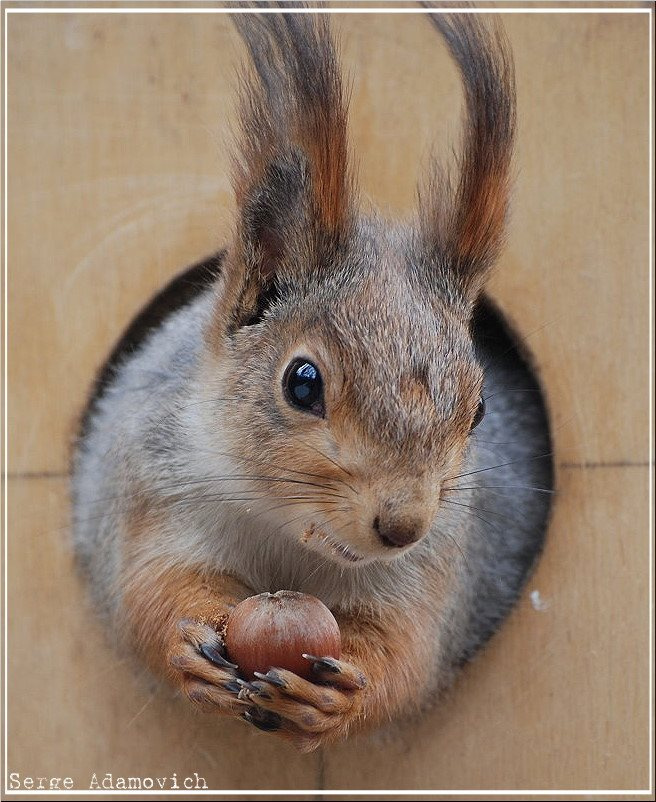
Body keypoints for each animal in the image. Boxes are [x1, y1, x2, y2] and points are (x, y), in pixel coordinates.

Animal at [71, 7, 553, 752]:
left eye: (478, 410)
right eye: (302, 383)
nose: (403, 525)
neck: (287, 534)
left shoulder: (429, 575)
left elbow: (404, 654)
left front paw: (337, 698)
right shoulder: (154, 490)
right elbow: (149, 590)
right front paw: (184, 641)